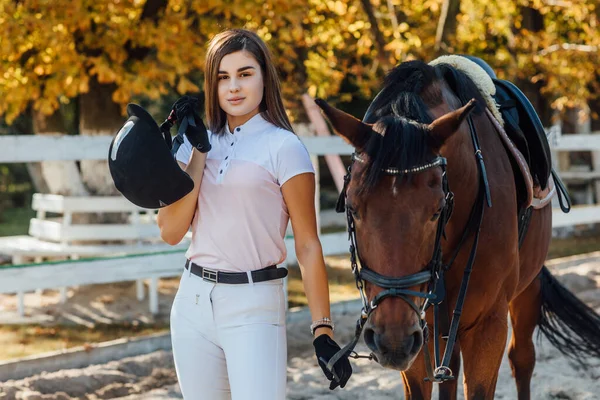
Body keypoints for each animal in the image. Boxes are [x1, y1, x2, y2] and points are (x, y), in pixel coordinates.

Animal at [314, 60, 600, 400]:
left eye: (437, 210)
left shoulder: (487, 326)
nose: (391, 339)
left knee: (522, 359)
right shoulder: (418, 333)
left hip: (526, 289)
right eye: (353, 208)